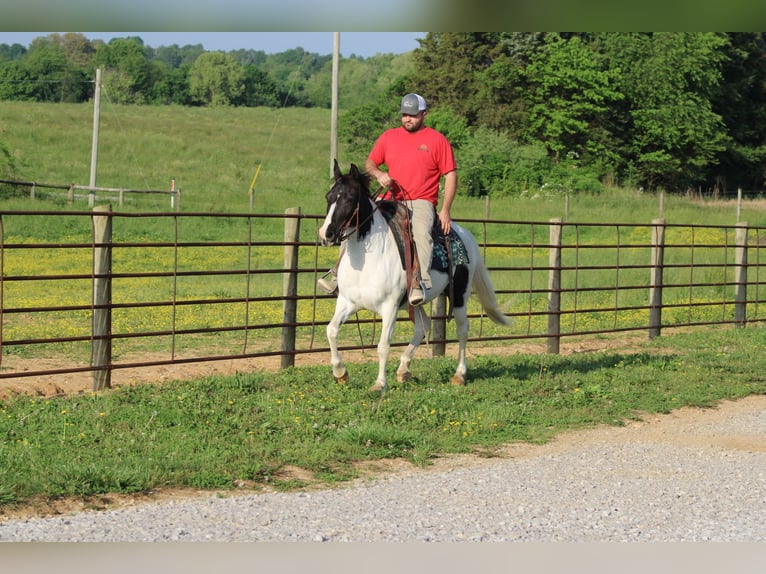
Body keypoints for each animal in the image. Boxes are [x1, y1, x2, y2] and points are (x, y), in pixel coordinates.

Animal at [318, 160, 510, 392]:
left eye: (349, 197)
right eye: (329, 196)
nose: (326, 234)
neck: (369, 260)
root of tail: (465, 234)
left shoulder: (390, 306)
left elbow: (383, 345)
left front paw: (379, 383)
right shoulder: (347, 301)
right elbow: (331, 330)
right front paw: (340, 373)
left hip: (459, 295)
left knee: (462, 329)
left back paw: (459, 375)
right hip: (414, 303)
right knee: (423, 326)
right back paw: (404, 369)